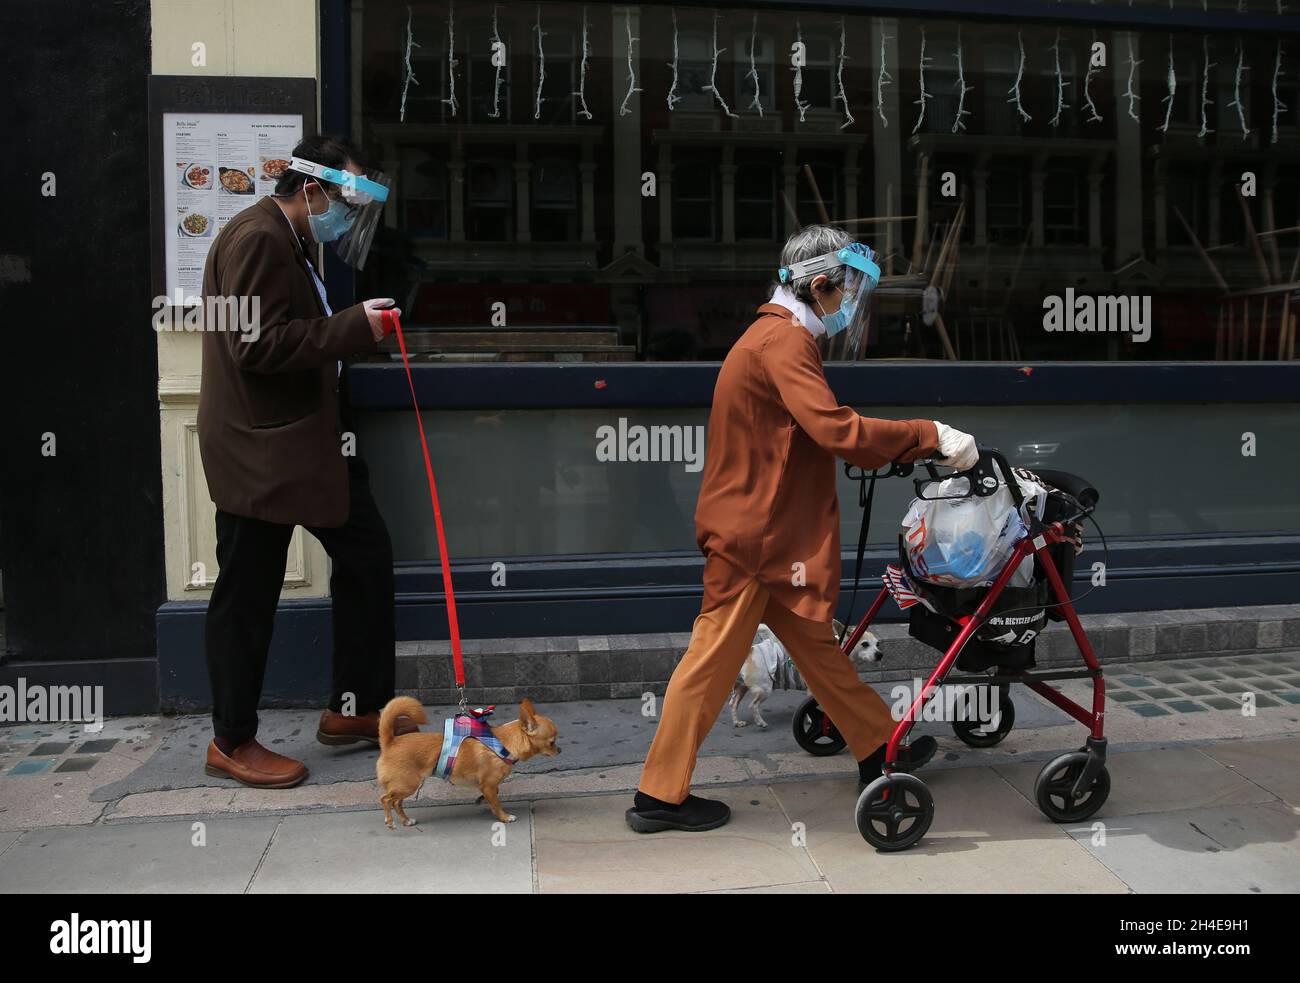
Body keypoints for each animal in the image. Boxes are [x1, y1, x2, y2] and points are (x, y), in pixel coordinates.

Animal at [733, 626, 883, 728]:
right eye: (865, 644)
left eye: (877, 644)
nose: (880, 654)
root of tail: (750, 651)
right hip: (764, 689)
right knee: (753, 705)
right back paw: (760, 722)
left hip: (741, 689)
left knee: (733, 704)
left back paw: (737, 722)